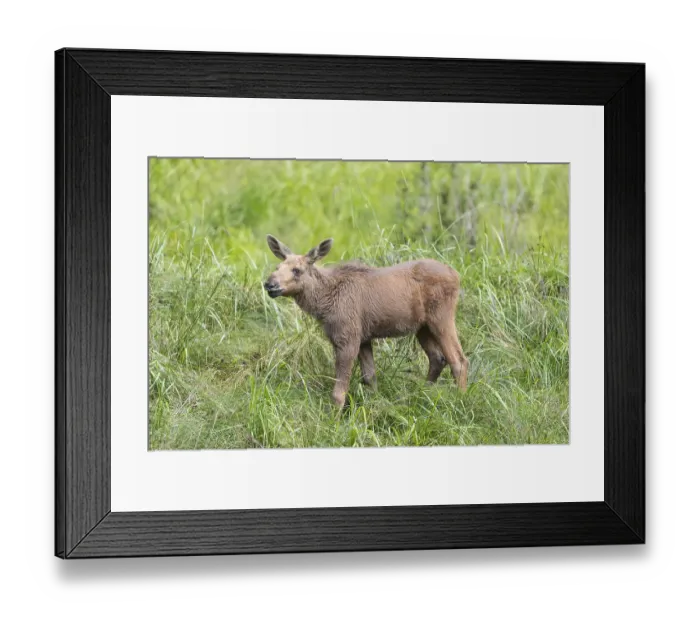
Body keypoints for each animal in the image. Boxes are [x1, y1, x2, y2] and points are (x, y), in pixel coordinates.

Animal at [263, 235, 469, 407]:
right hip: (422, 327)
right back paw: (421, 395)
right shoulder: (364, 338)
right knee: (437, 358)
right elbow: (370, 377)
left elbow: (338, 393)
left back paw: (460, 401)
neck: (323, 303)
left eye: (297, 270)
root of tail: (456, 275)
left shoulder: (348, 337)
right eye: (277, 268)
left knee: (459, 360)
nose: (269, 284)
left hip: (441, 317)